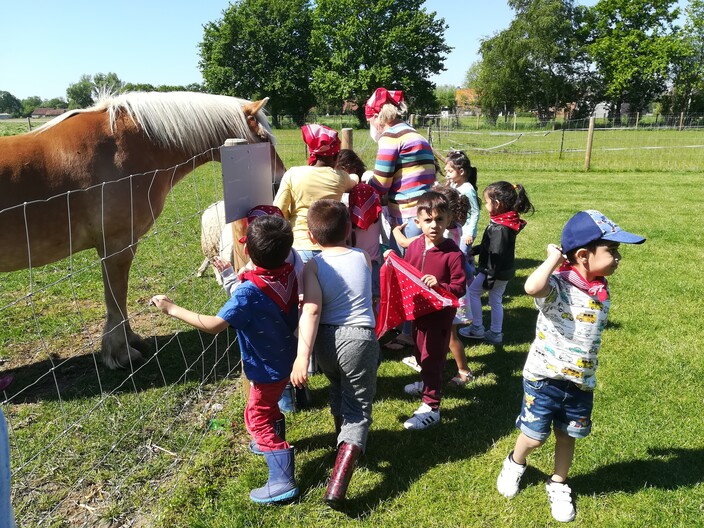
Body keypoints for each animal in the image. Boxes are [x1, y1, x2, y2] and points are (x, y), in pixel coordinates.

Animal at [1, 91, 286, 370]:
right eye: (263, 138)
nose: (277, 182)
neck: (124, 148)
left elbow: (119, 299)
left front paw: (130, 341)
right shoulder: (116, 246)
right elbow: (116, 299)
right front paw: (120, 352)